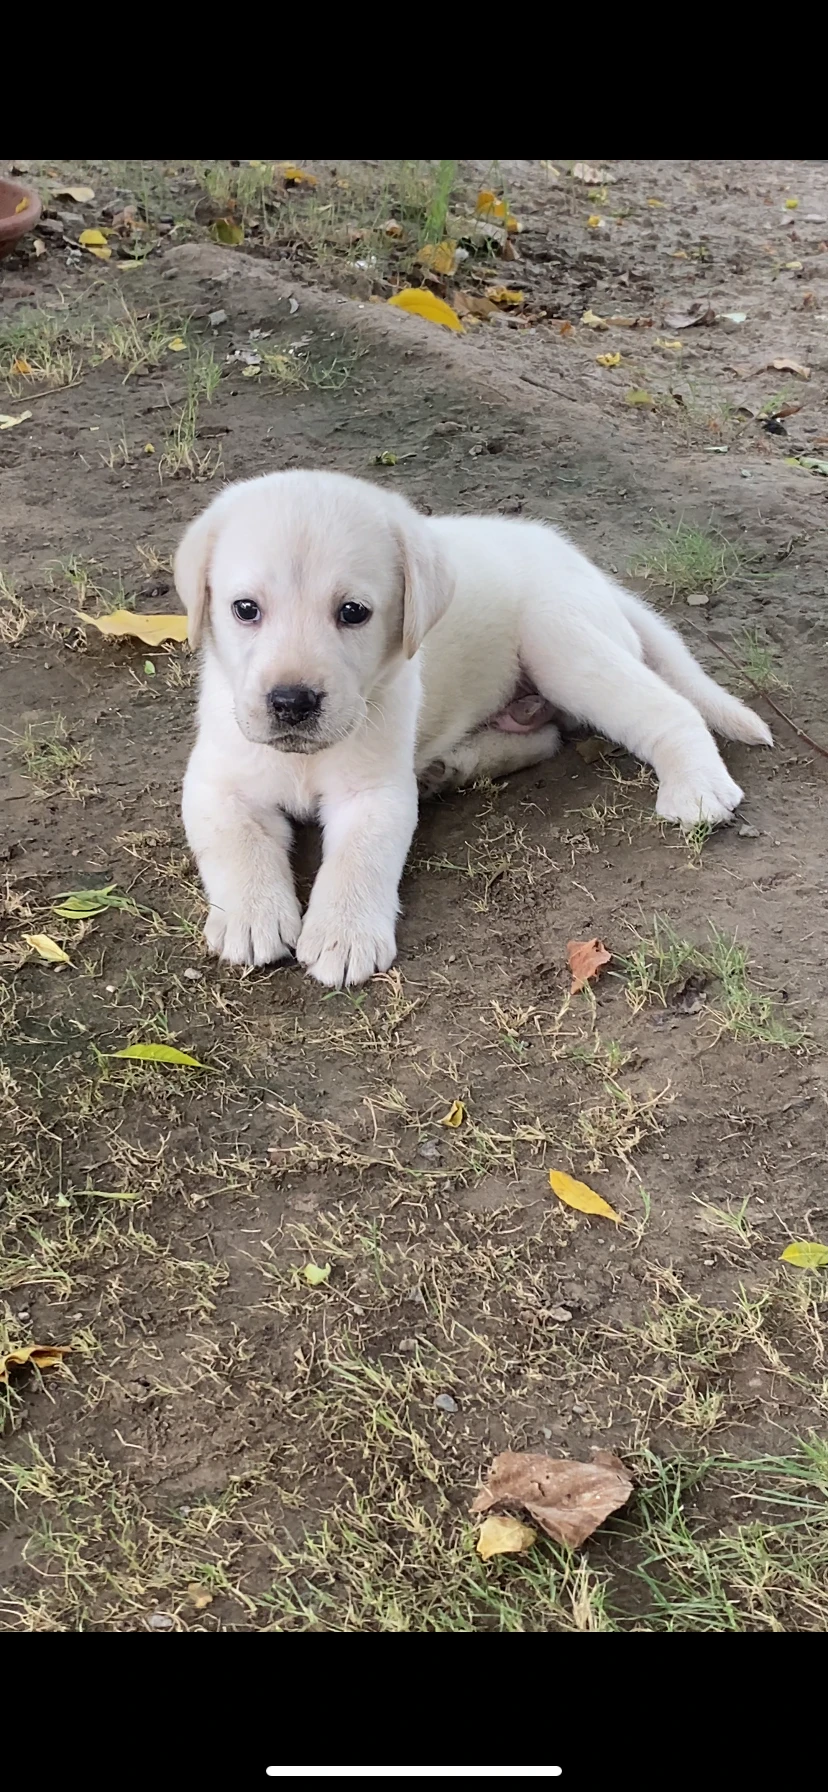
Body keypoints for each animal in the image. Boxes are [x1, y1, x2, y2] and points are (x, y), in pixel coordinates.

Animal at [172, 469, 770, 989]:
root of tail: (588, 570)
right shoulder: (217, 783)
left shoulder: (377, 792)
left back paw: (697, 788)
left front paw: (344, 935)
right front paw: (252, 916)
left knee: (668, 709)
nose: (292, 702)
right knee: (545, 735)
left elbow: (359, 857)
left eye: (353, 612)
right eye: (245, 609)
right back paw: (450, 765)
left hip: (562, 643)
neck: (304, 757)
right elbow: (236, 842)